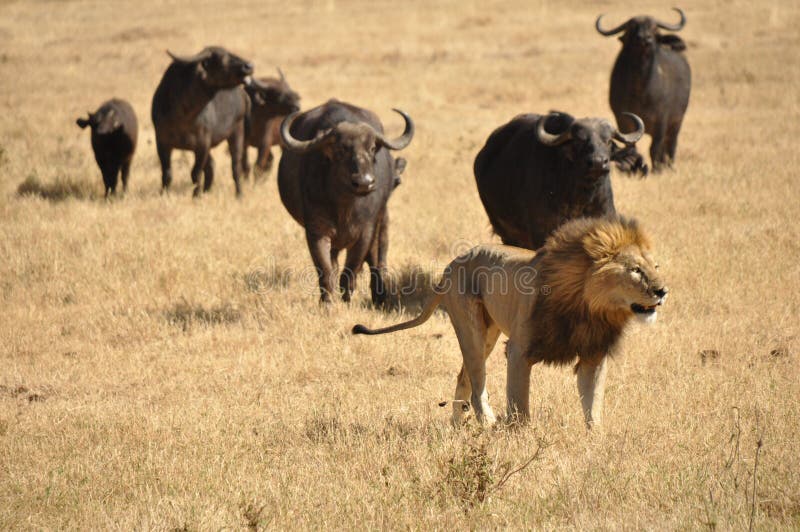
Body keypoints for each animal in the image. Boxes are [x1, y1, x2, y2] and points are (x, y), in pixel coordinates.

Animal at [149, 46, 250, 197]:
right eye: (222, 58)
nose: (249, 66)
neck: (183, 116)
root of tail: (243, 95)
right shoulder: (162, 142)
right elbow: (167, 173)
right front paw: (164, 194)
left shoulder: (202, 144)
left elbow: (196, 173)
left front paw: (195, 196)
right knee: (212, 166)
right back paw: (207, 191)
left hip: (237, 131)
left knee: (235, 167)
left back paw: (239, 195)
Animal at [276, 100, 412, 306]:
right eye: (341, 149)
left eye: (372, 148)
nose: (364, 182)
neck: (345, 207)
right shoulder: (316, 232)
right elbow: (326, 271)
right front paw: (327, 304)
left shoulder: (366, 232)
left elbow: (351, 271)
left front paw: (347, 300)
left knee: (376, 259)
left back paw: (379, 297)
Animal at [354, 216, 664, 428]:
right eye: (635, 270)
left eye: (655, 267)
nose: (663, 291)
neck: (589, 309)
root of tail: (452, 263)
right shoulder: (519, 351)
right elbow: (519, 401)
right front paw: (521, 437)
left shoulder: (593, 354)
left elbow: (593, 403)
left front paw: (595, 439)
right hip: (472, 330)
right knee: (477, 383)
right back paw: (488, 424)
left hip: (489, 332)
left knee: (463, 377)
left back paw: (457, 425)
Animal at [596, 7, 692, 171]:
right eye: (633, 28)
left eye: (654, 29)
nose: (644, 39)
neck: (641, 90)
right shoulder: (623, 120)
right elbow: (631, 146)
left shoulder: (661, 120)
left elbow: (655, 148)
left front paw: (657, 170)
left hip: (677, 121)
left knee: (671, 144)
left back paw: (669, 166)